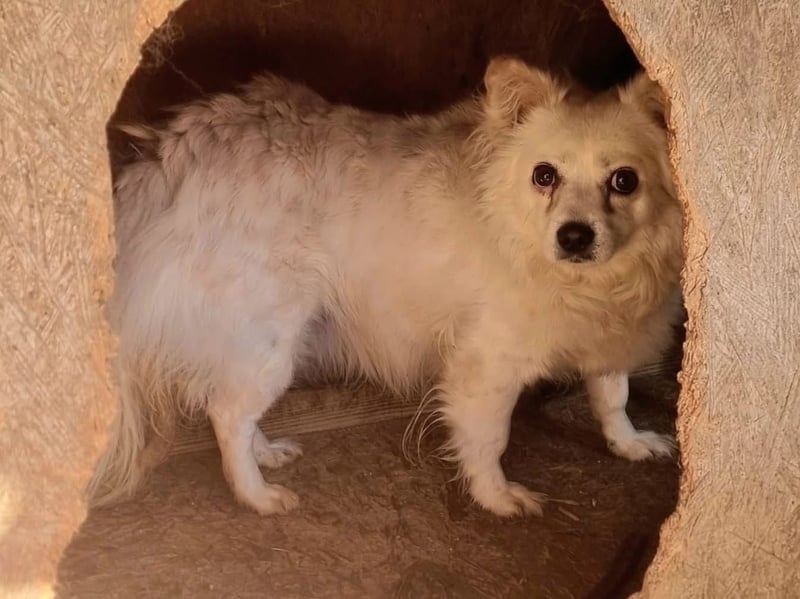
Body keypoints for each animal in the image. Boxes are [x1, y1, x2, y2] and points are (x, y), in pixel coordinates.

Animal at [89, 56, 684, 518]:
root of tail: (173, 152)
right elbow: (488, 439)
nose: (575, 235)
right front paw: (496, 498)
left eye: (625, 181)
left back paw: (265, 454)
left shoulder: (610, 337)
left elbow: (612, 398)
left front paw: (630, 444)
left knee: (229, 405)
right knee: (228, 414)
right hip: (269, 340)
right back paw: (256, 495)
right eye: (544, 176)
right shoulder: (485, 367)